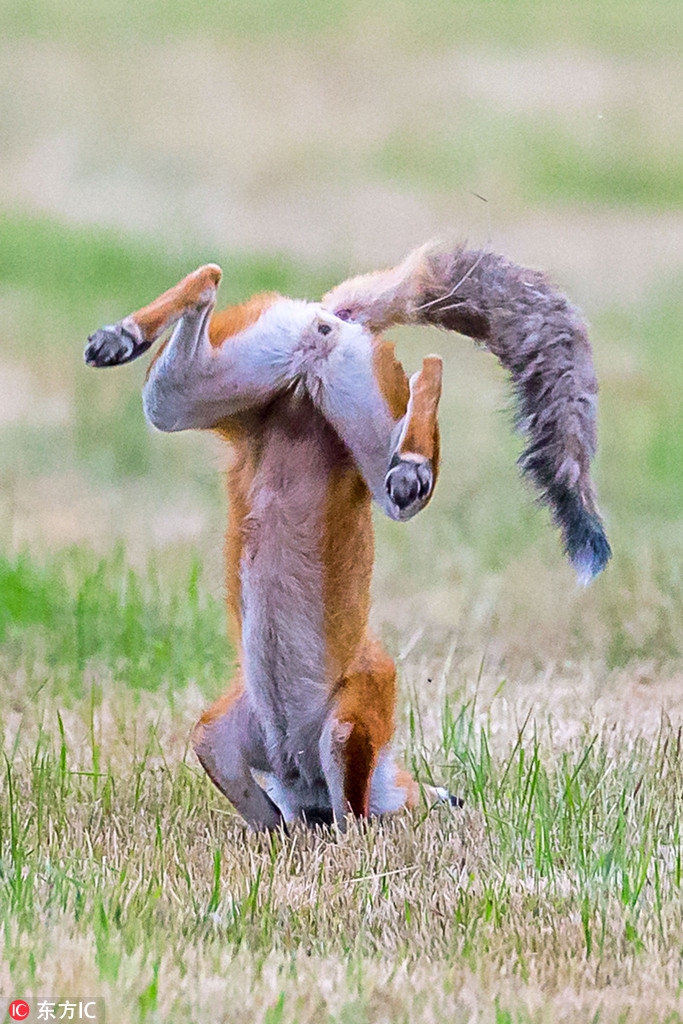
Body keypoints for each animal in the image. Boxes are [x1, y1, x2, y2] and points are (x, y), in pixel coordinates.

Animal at [82, 241, 610, 831]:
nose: (453, 798)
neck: (301, 780)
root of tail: (329, 325)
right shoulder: (353, 719)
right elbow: (349, 822)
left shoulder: (220, 739)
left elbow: (269, 815)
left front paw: (287, 835)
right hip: (346, 460)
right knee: (420, 430)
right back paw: (414, 454)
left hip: (177, 397)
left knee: (209, 281)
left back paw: (124, 334)